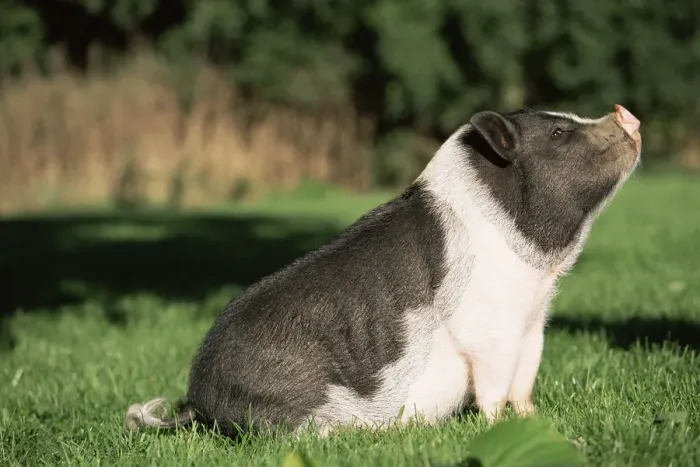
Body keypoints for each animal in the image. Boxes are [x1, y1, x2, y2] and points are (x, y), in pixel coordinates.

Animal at [124, 104, 642, 438]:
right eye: (558, 134)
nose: (624, 112)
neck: (539, 275)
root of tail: (197, 400)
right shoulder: (489, 327)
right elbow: (494, 387)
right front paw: (499, 427)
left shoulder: (532, 323)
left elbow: (524, 379)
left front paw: (535, 419)